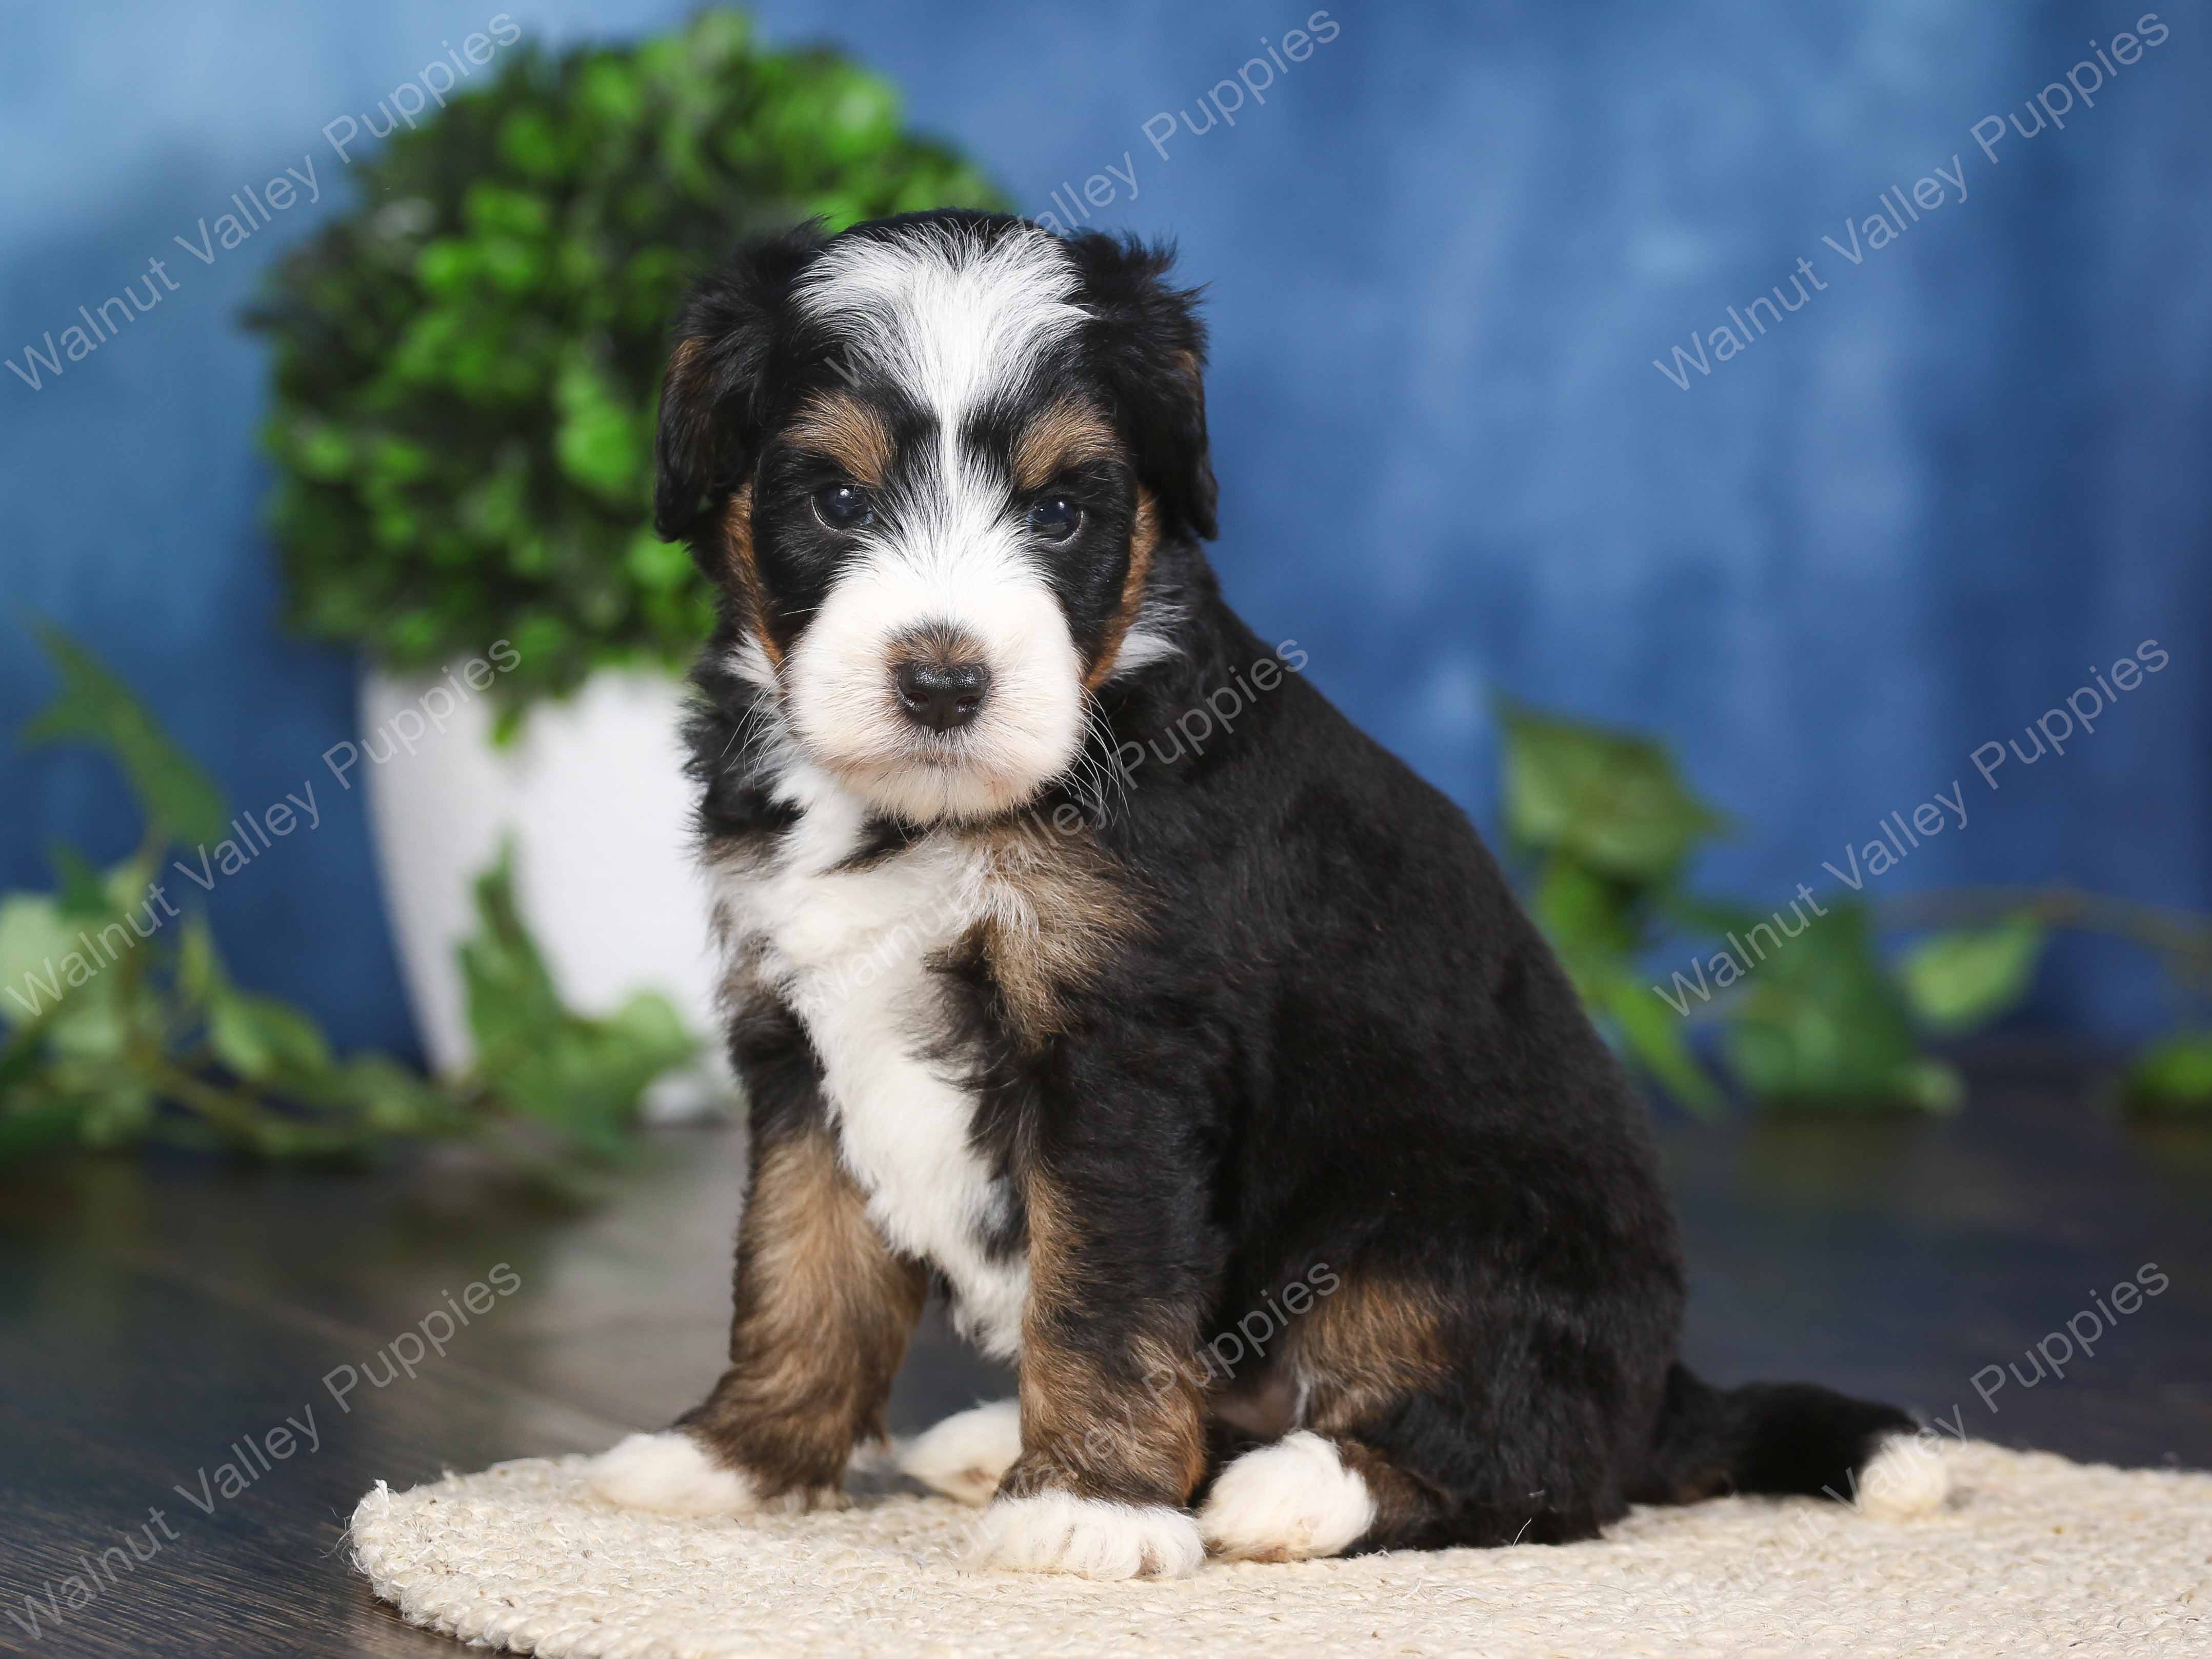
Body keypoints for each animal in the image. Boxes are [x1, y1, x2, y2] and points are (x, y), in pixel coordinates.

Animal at [585, 210, 1947, 1578]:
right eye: (835, 498)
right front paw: (738, 1460)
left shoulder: (1121, 1052)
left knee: (1528, 1462)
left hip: (1441, 1234)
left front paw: (1086, 1508)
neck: (935, 813)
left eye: (1062, 511)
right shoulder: (795, 1034)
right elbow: (798, 1268)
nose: (942, 683)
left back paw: (1290, 1489)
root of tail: (1659, 1387)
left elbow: (1101, 1294)